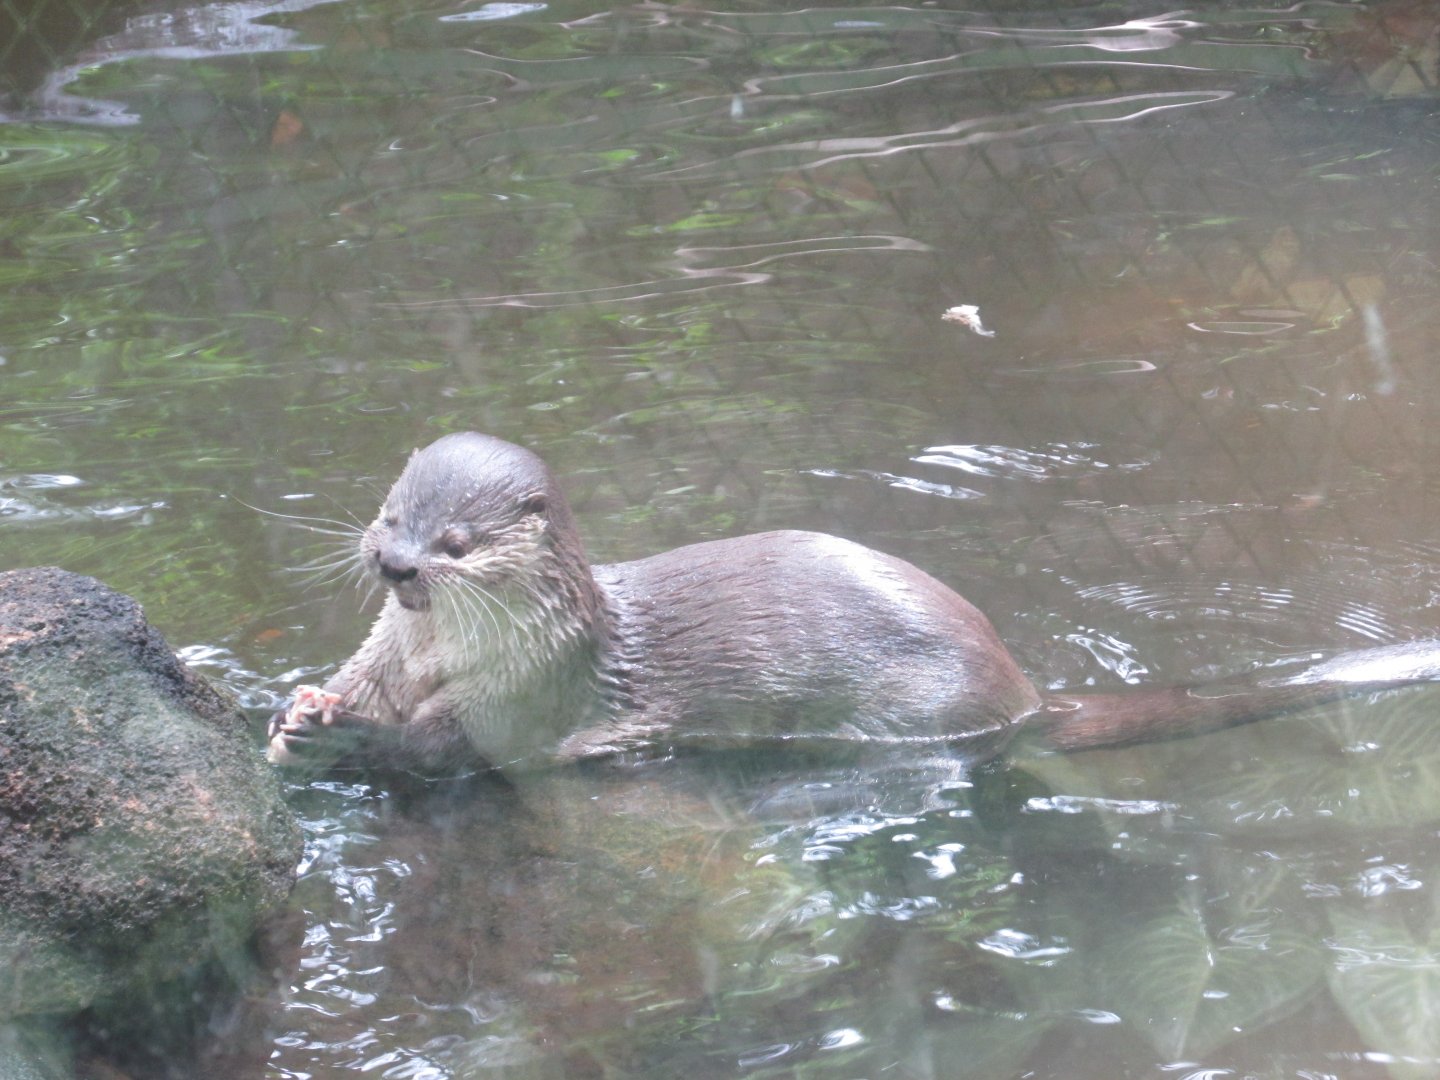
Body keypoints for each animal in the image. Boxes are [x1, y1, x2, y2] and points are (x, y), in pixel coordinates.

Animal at [267, 432, 1440, 775]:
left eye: (455, 545)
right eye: (388, 514)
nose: (395, 565)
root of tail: (1025, 690)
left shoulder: (529, 699)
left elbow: (447, 749)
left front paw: (351, 739)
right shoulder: (387, 653)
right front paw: (302, 711)